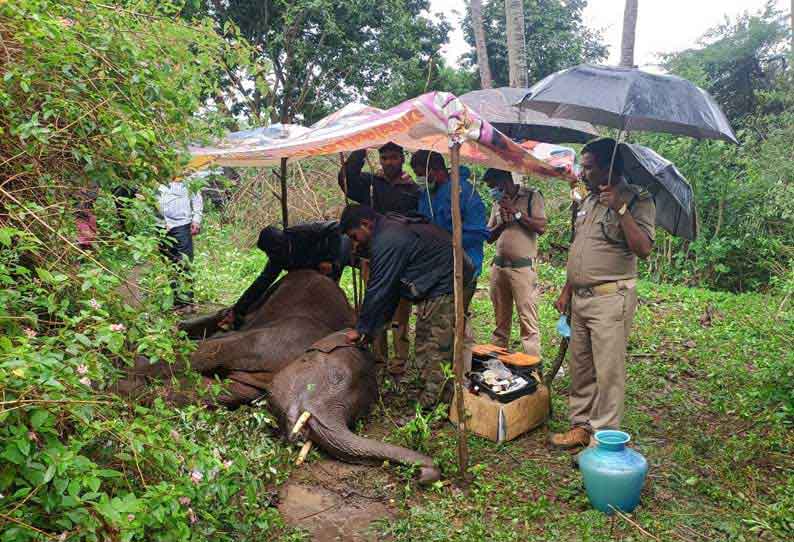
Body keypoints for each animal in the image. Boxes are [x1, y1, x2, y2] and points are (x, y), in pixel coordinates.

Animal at [116, 272, 440, 484]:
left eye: (360, 415)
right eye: (336, 377)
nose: (425, 475)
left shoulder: (256, 382)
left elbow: (224, 390)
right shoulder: (281, 336)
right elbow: (215, 349)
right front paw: (119, 374)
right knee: (229, 317)